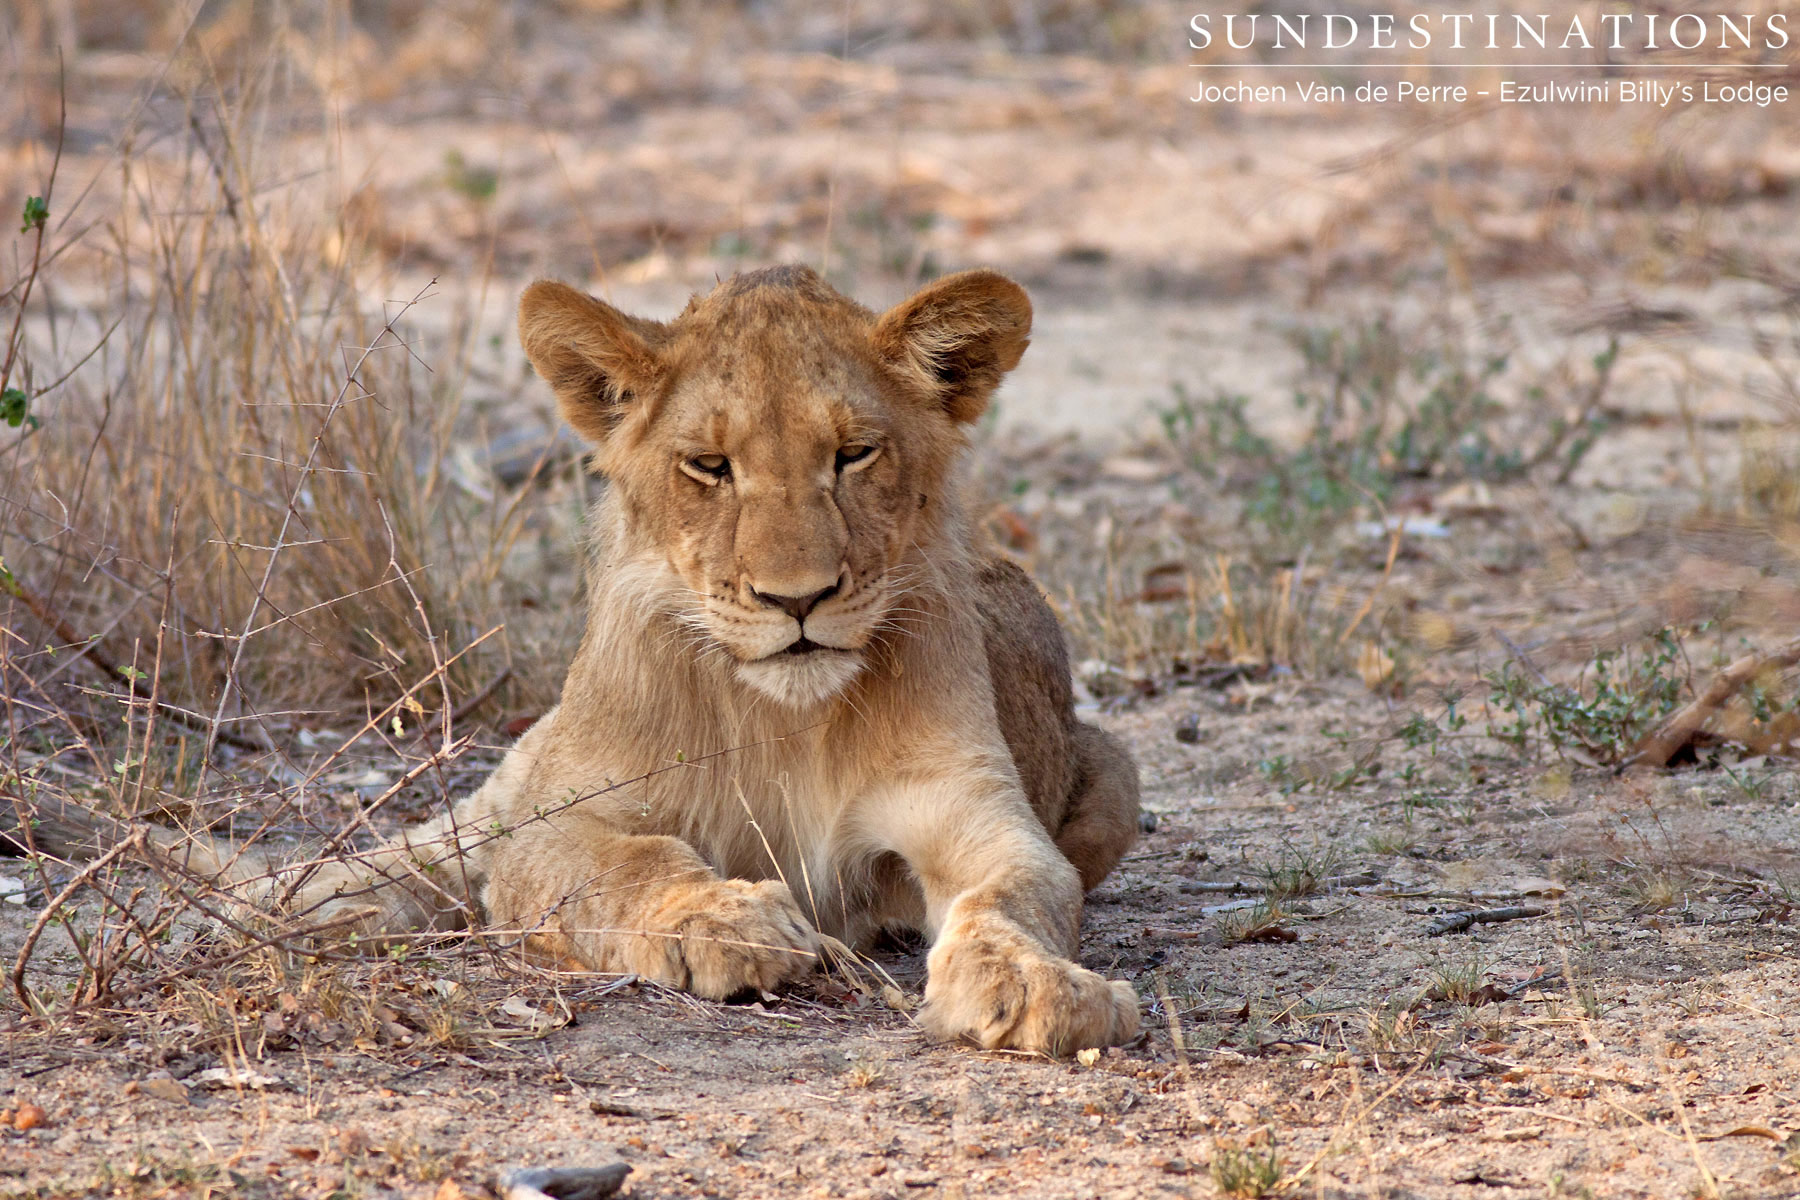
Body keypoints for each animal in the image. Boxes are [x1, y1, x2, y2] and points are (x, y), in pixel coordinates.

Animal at [34, 266, 1144, 1054]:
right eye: (710, 466)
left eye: (854, 454)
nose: (796, 602)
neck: (785, 716)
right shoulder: (560, 822)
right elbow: (632, 861)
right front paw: (731, 922)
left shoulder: (978, 819)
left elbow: (1011, 899)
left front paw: (1036, 986)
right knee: (405, 859)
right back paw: (302, 906)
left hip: (1118, 776)